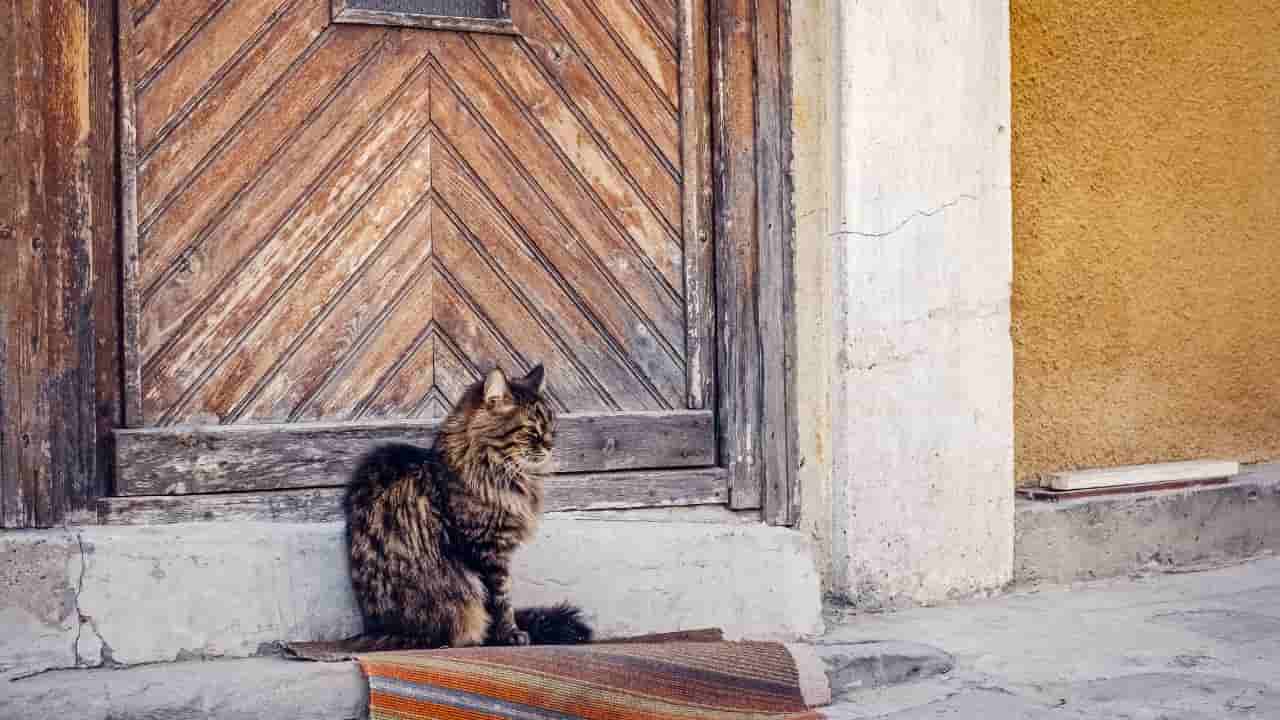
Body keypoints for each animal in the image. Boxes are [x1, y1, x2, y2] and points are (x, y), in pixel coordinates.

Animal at [345, 361, 593, 648]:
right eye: (532, 431)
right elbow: (501, 599)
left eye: (552, 427)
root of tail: (376, 630)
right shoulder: (486, 548)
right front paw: (509, 634)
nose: (552, 445)